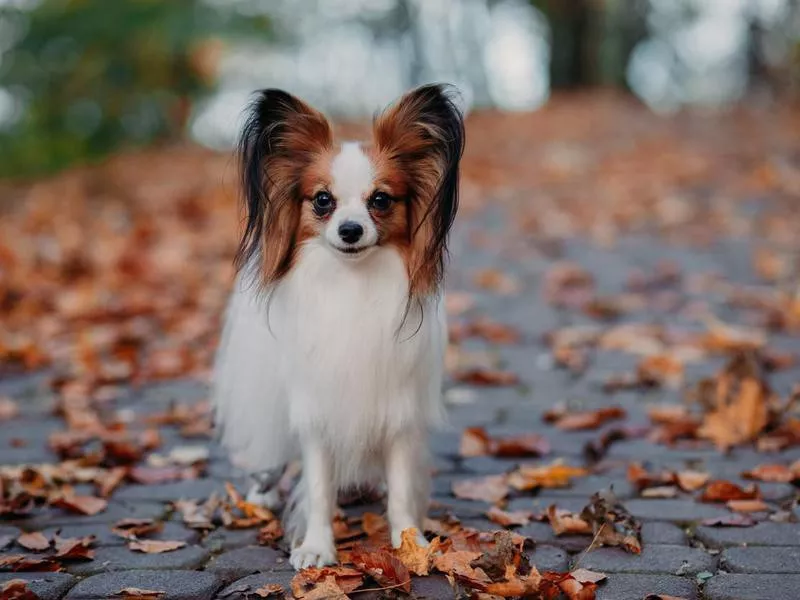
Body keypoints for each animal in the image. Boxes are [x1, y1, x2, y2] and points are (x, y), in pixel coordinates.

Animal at [209, 83, 466, 568]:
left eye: (380, 200)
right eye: (322, 201)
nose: (350, 230)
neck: (353, 285)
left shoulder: (398, 409)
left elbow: (401, 488)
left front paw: (410, 543)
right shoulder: (316, 409)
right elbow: (317, 487)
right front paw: (316, 546)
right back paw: (262, 493)